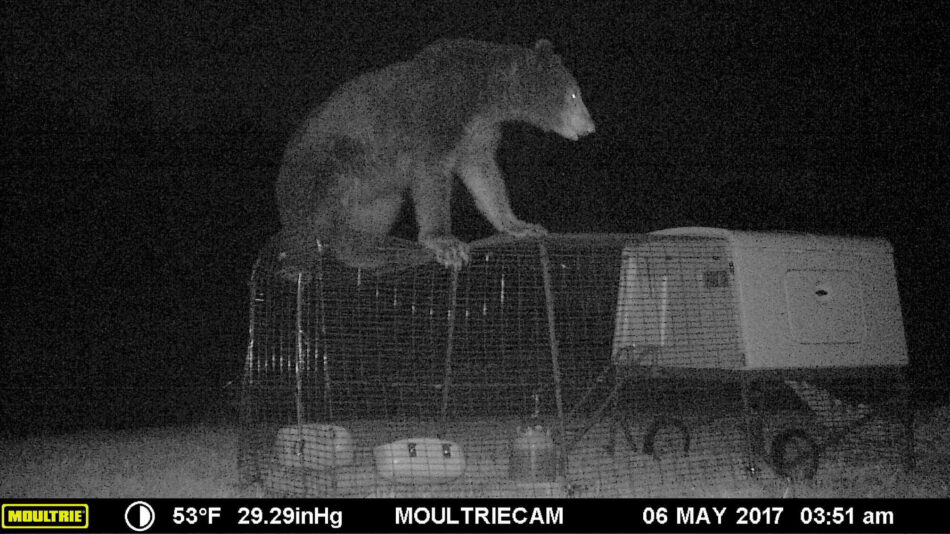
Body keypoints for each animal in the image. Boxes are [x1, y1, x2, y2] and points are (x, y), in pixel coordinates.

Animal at [276, 38, 600, 274]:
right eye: (574, 95)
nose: (590, 127)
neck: (484, 97)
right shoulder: (439, 114)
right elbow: (432, 174)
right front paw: (447, 243)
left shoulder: (477, 134)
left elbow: (484, 175)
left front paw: (521, 225)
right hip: (330, 160)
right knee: (324, 201)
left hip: (377, 190)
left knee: (382, 207)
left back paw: (372, 247)